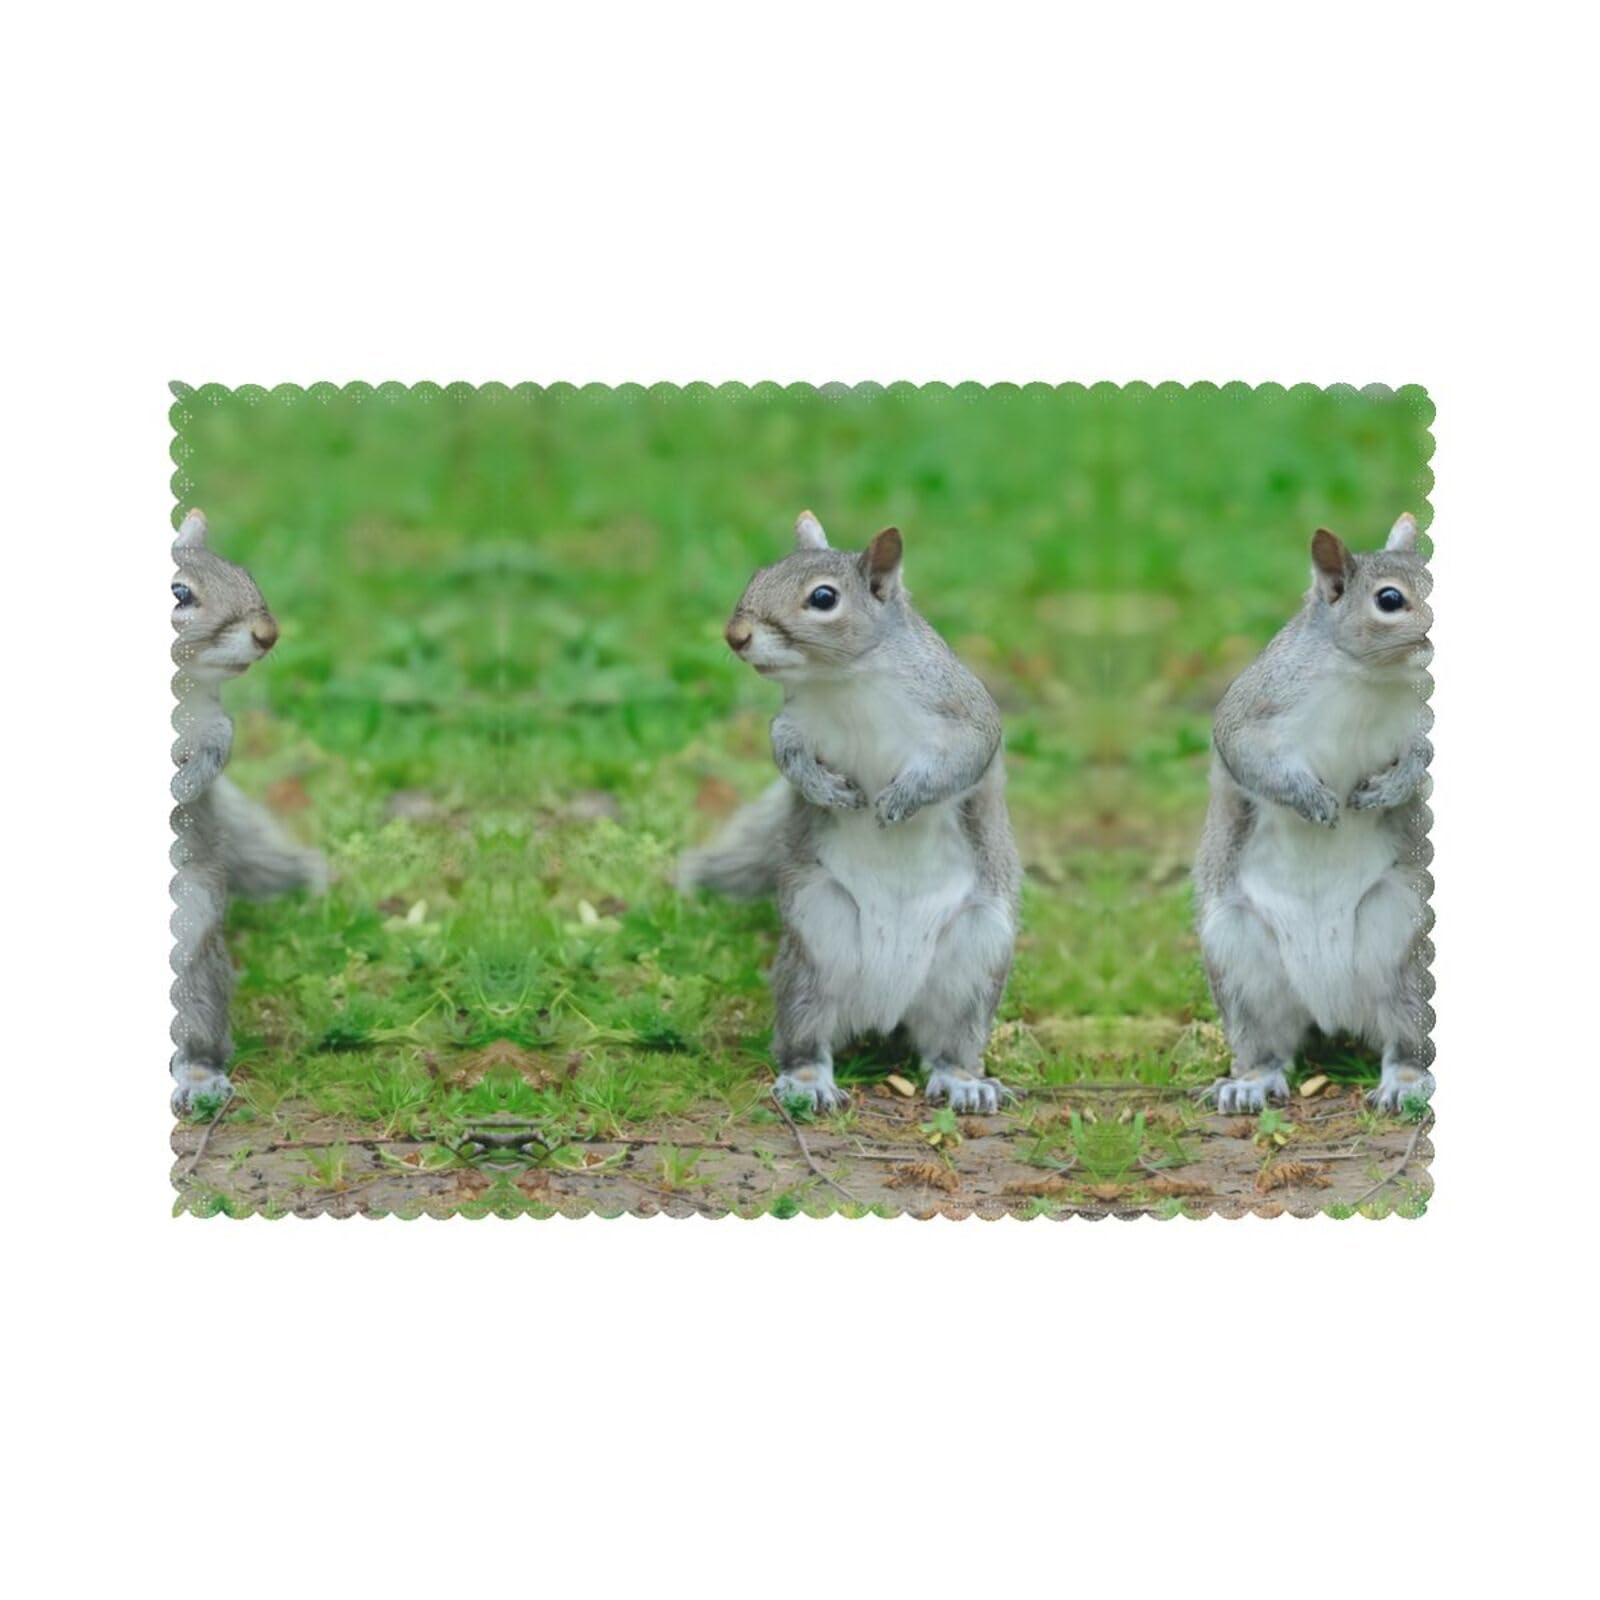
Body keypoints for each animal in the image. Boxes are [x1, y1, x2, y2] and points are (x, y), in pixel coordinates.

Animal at [169, 510, 326, 1115]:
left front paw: (182, 786)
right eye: (179, 593)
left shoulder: (212, 724)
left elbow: (214, 751)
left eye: (245, 574)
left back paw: (197, 1076)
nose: (268, 634)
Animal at [680, 512, 1021, 1115]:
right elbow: (787, 757)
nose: (735, 636)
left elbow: (964, 760)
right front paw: (827, 791)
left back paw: (965, 1082)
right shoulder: (793, 724)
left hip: (974, 959)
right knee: (806, 1036)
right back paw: (807, 1081)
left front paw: (900, 799)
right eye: (759, 573)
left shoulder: (963, 712)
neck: (845, 681)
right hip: (816, 946)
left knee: (949, 1045)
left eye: (823, 598)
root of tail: (887, 1007)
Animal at [1194, 513, 1434, 1115]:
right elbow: (1245, 753)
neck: (1372, 678)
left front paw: (1391, 788)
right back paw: (1249, 1083)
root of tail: (1332, 1010)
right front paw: (1310, 798)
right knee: (1268, 1046)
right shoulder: (1257, 704)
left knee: (1405, 1037)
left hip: (1406, 949)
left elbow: (1424, 759)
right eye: (1389, 599)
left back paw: (1406, 1081)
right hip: (1240, 960)